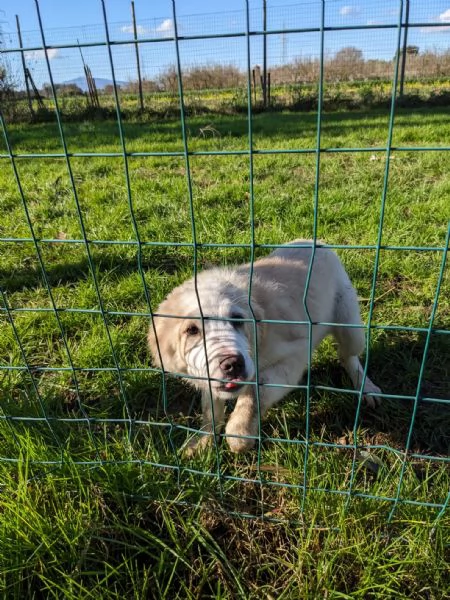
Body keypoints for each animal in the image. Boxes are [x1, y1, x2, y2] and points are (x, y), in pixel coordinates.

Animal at [149, 238, 382, 450]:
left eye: (237, 319)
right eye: (192, 330)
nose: (233, 364)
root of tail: (314, 241)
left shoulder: (294, 356)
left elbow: (255, 392)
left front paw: (239, 433)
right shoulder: (208, 381)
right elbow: (210, 410)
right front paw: (203, 440)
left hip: (350, 326)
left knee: (348, 356)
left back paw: (366, 389)